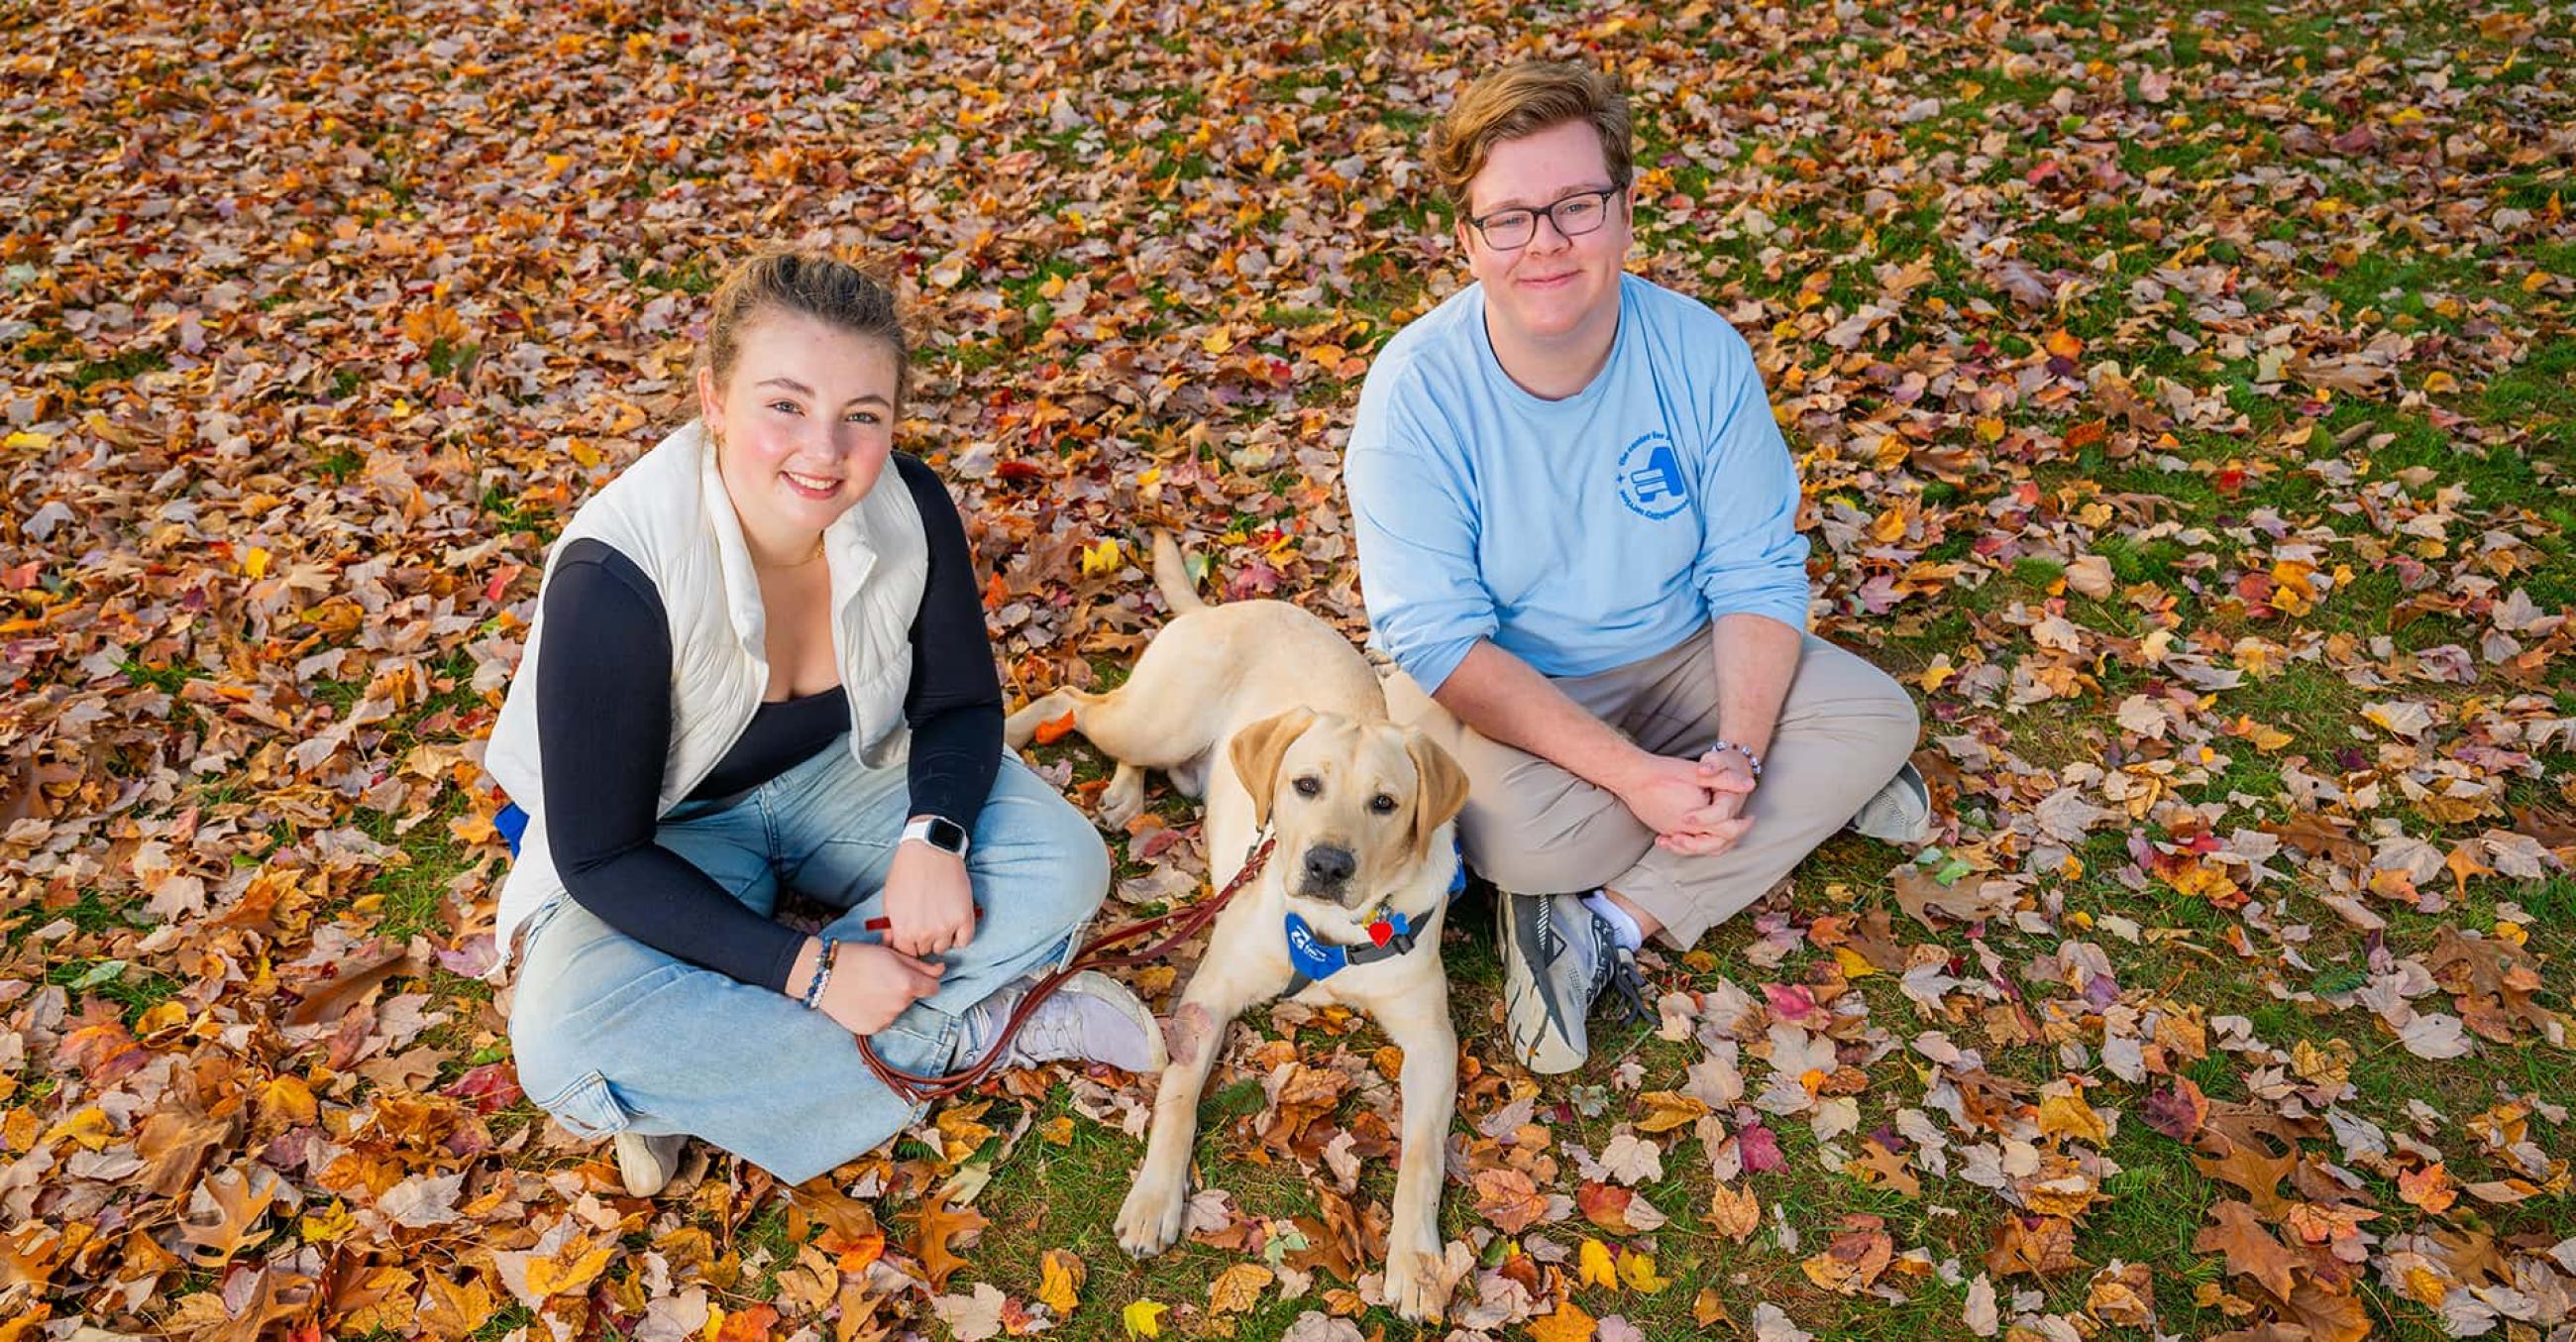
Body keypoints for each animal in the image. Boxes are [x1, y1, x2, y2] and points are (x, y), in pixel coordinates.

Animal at [994, 532, 1462, 1318]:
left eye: (1386, 804)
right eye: (1305, 785)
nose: (1328, 863)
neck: (1331, 933)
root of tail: (1219, 608)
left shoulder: (1433, 1039)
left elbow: (1423, 1158)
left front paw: (1419, 1263)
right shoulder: (1208, 996)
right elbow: (1178, 1097)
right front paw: (1155, 1200)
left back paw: (1123, 794)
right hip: (1158, 719)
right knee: (1075, 701)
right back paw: (1011, 735)